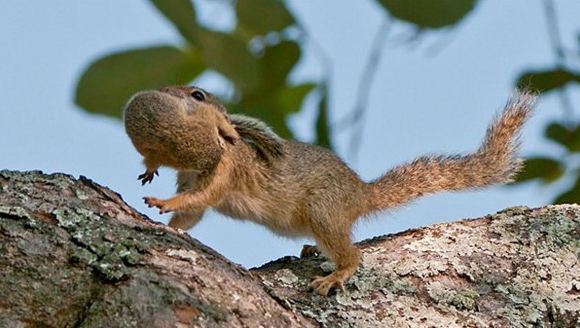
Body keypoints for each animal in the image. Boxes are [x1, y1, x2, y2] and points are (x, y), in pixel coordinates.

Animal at [123, 86, 536, 296]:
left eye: (198, 95)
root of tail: (359, 194)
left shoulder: (228, 170)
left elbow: (201, 199)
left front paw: (162, 202)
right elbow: (191, 214)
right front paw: (171, 223)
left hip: (323, 210)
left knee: (352, 255)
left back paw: (337, 273)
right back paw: (310, 250)